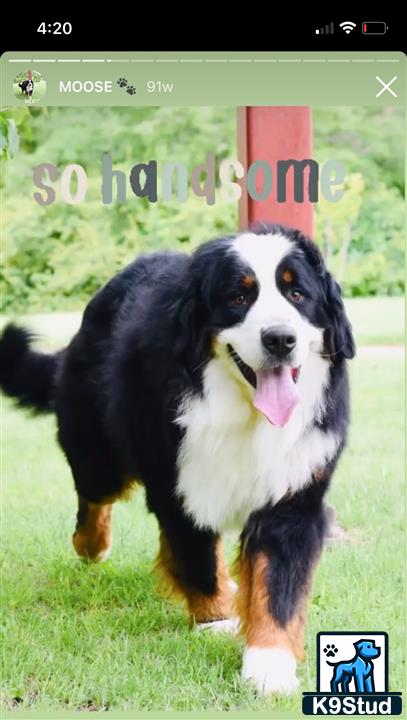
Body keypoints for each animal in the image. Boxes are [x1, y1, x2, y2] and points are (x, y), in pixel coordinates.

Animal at [0, 226, 356, 696]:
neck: (246, 415)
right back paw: (92, 545)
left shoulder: (293, 494)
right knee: (94, 498)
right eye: (238, 298)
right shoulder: (178, 478)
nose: (280, 338)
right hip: (99, 450)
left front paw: (270, 665)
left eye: (297, 293)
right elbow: (196, 554)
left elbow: (280, 586)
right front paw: (216, 619)